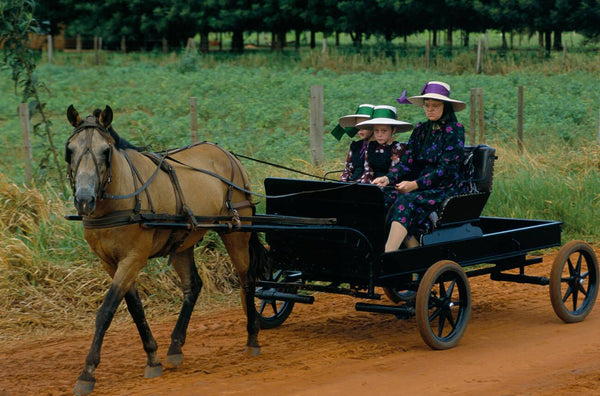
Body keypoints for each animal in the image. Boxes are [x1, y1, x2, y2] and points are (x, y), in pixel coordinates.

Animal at [64, 106, 264, 396]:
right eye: (70, 150)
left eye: (106, 151)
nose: (84, 199)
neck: (120, 197)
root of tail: (227, 154)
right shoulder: (110, 263)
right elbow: (135, 309)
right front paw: (152, 358)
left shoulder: (134, 258)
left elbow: (106, 311)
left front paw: (87, 373)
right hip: (183, 242)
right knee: (193, 286)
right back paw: (175, 347)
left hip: (236, 231)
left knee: (247, 280)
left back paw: (252, 339)